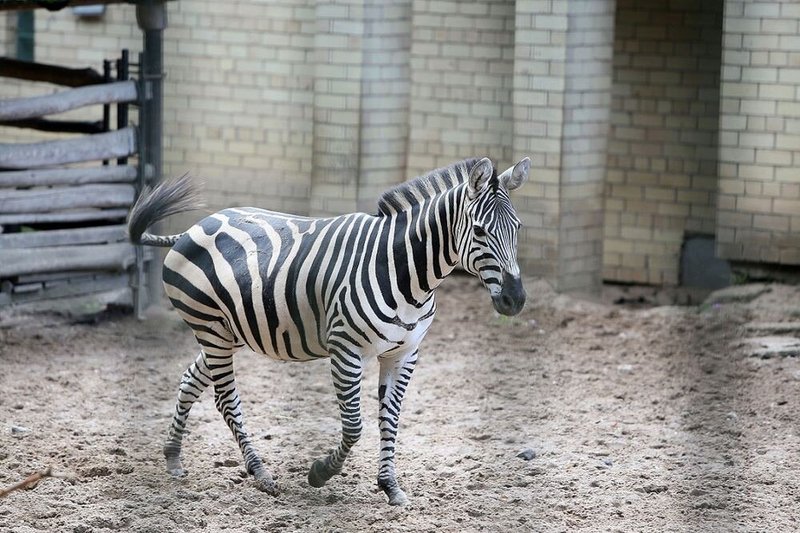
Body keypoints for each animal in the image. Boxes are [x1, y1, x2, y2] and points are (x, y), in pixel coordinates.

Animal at [128, 156, 532, 504]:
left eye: (517, 228)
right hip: (210, 327)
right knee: (225, 399)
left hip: (230, 331)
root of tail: (191, 229)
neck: (407, 273)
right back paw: (260, 473)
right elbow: (354, 426)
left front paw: (390, 486)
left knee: (190, 379)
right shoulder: (345, 349)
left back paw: (173, 456)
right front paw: (320, 473)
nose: (515, 300)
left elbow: (390, 420)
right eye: (479, 231)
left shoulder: (404, 353)